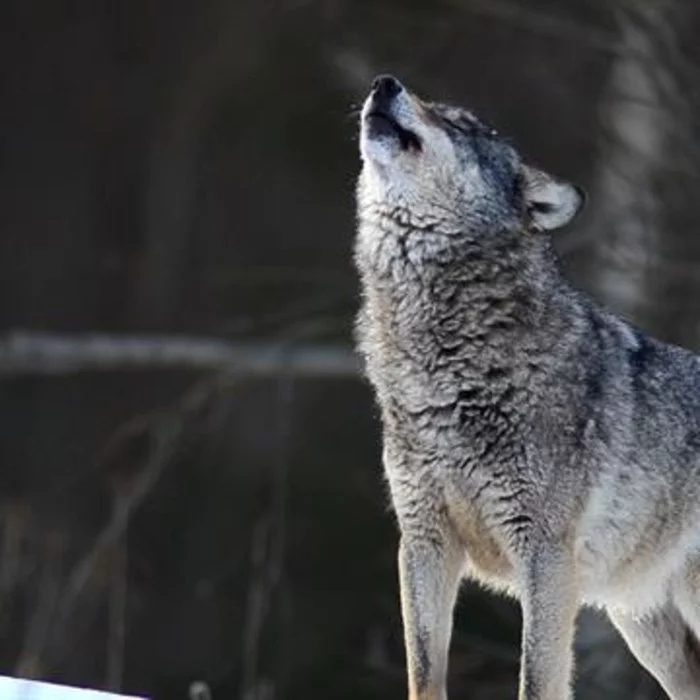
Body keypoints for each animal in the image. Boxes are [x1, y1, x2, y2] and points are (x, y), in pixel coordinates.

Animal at [356, 74, 700, 696]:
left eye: (462, 124)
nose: (384, 83)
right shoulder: (422, 542)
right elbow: (423, 672)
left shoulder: (544, 555)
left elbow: (536, 678)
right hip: (647, 630)